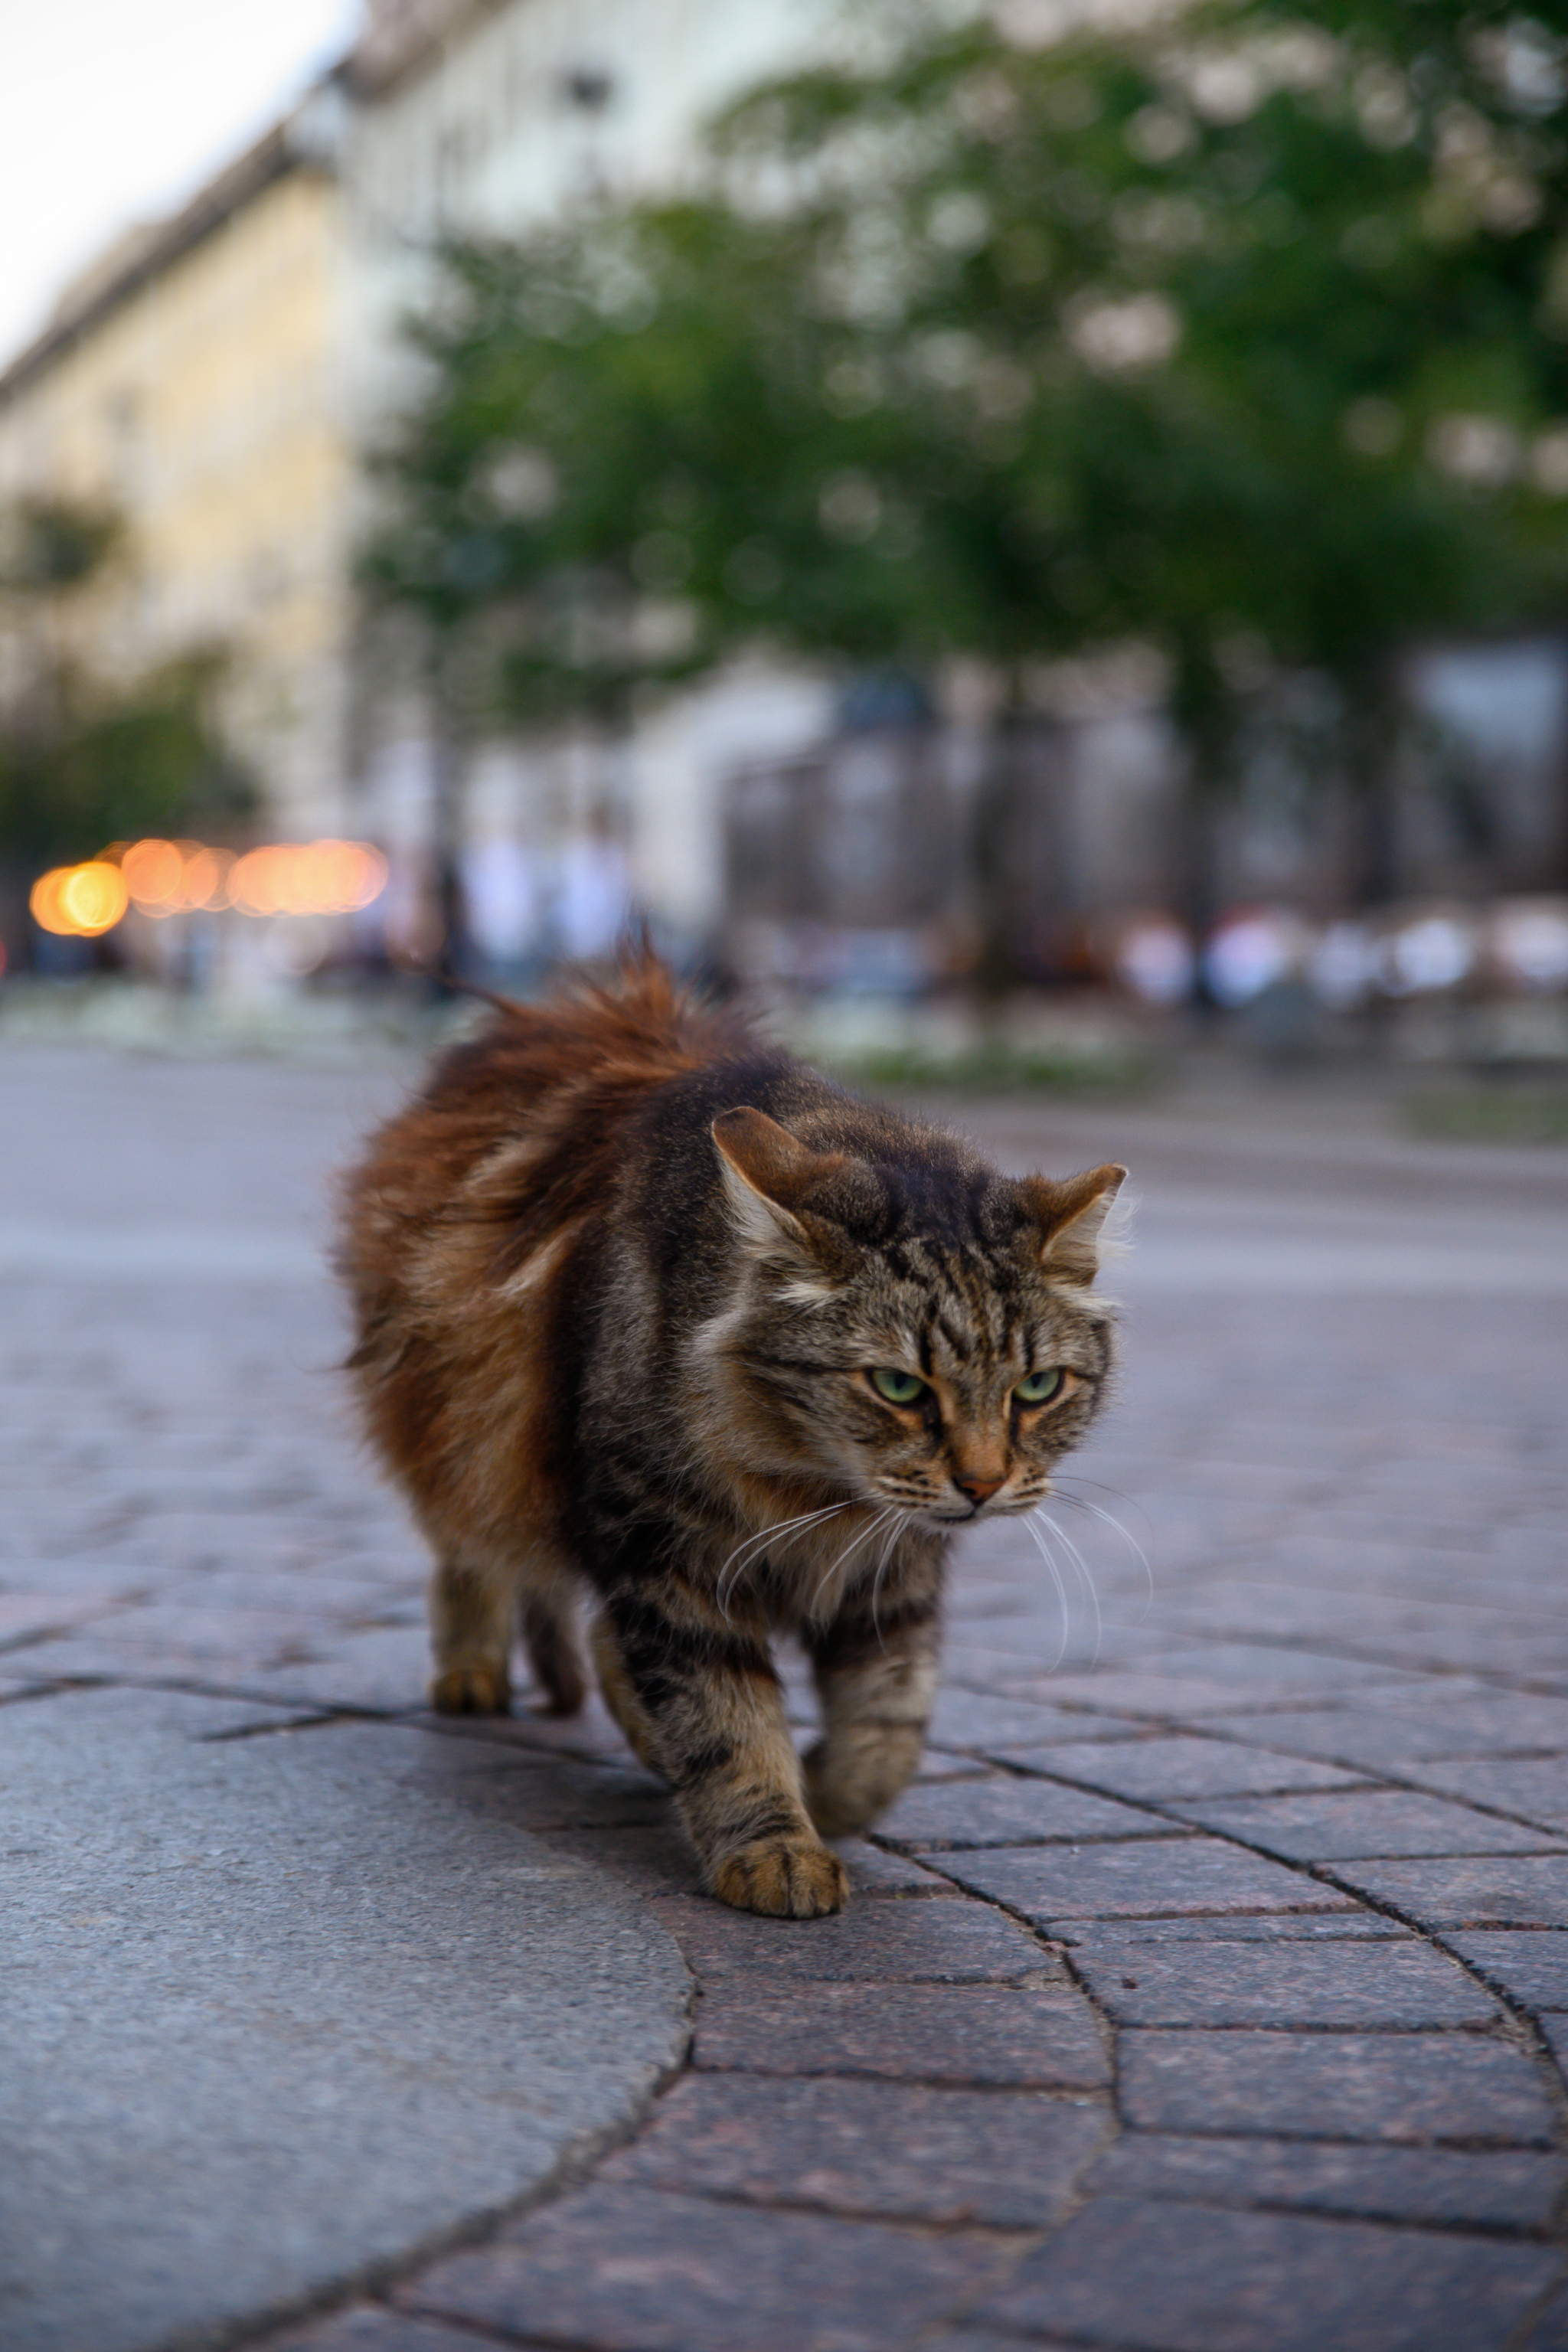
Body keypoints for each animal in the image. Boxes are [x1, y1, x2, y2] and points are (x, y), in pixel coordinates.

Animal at [341, 955, 1128, 1909]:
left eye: (1036, 1388)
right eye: (899, 1386)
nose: (980, 1485)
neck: (816, 1490)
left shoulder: (893, 1576)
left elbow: (888, 1724)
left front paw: (827, 1793)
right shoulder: (664, 1559)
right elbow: (726, 1722)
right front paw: (773, 1848)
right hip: (472, 1431)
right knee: (469, 1553)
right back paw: (471, 1673)